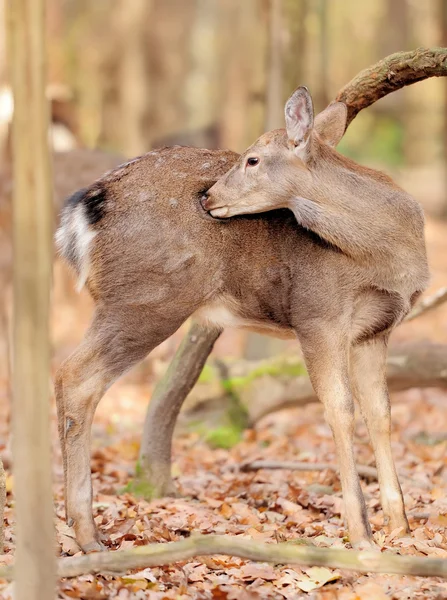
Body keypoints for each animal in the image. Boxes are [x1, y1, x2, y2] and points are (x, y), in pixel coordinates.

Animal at [53, 81, 430, 552]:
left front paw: (400, 528)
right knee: (75, 376)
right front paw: (361, 535)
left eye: (252, 159)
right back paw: (87, 535)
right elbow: (340, 409)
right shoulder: (317, 315)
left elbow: (380, 413)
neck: (387, 255)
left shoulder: (375, 330)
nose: (208, 195)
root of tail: (84, 210)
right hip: (147, 297)